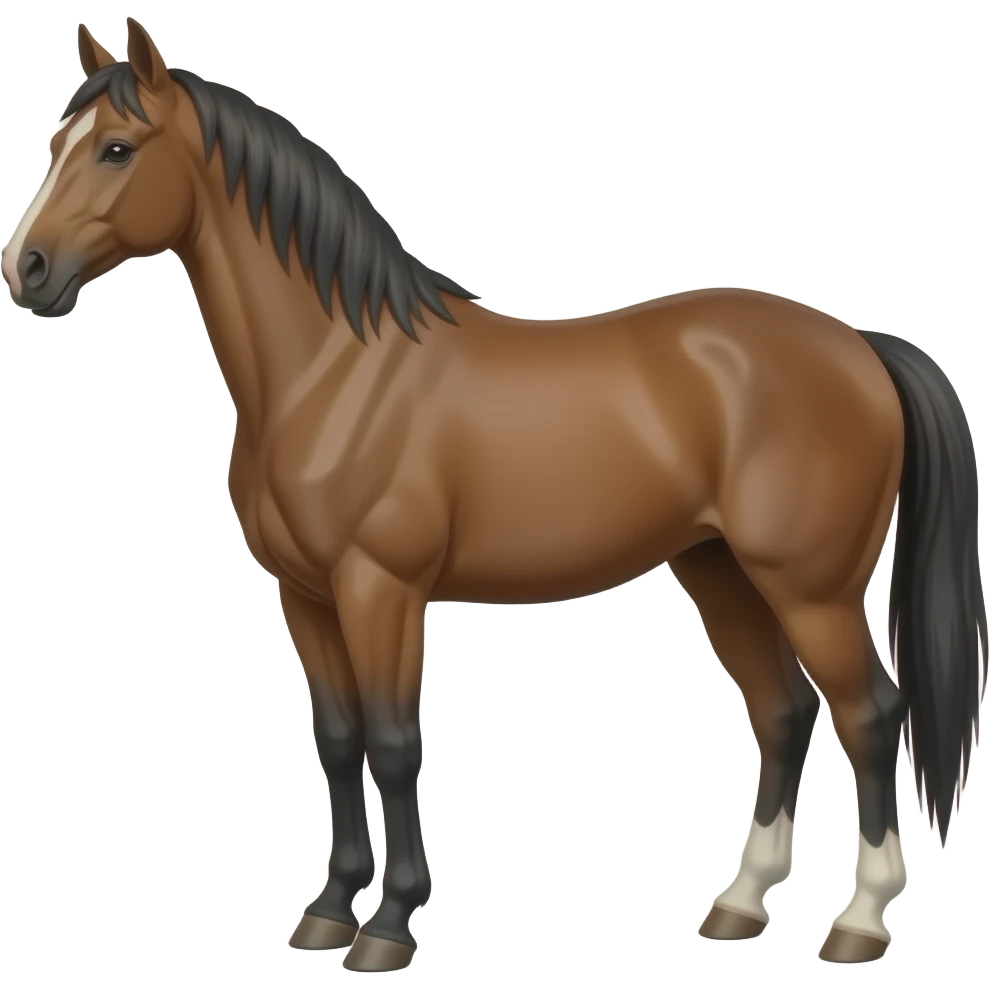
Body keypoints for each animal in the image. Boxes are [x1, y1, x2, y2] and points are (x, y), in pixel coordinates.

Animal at [3, 17, 985, 973]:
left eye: (118, 148)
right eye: (56, 143)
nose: (28, 271)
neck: (335, 371)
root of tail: (859, 347)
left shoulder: (381, 589)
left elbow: (394, 744)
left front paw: (389, 925)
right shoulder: (305, 594)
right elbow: (338, 741)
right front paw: (327, 911)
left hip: (811, 589)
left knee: (870, 716)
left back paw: (859, 922)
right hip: (721, 572)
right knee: (783, 713)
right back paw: (740, 906)